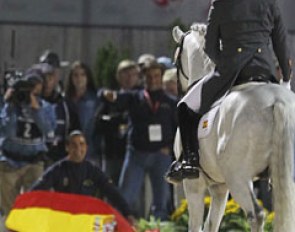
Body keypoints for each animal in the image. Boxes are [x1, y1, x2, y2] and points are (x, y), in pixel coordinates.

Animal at [172, 24, 295, 232]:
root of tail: (277, 101)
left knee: (256, 215)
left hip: (238, 177)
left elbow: (196, 225)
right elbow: (211, 224)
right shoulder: (220, 187)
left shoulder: (194, 184)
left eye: (175, 62)